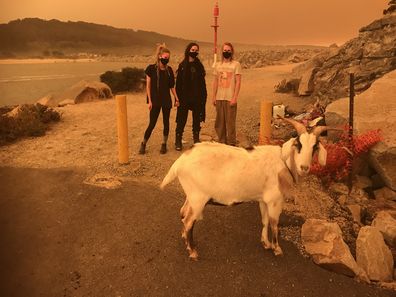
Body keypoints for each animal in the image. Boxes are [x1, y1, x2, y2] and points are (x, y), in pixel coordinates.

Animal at [161, 118, 328, 260]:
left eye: (315, 146)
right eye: (298, 144)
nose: (304, 167)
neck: (283, 162)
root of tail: (180, 162)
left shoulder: (263, 199)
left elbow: (265, 220)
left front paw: (266, 243)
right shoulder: (275, 200)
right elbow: (274, 223)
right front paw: (277, 249)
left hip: (191, 195)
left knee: (183, 212)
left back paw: (184, 238)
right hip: (198, 198)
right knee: (189, 220)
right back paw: (193, 251)